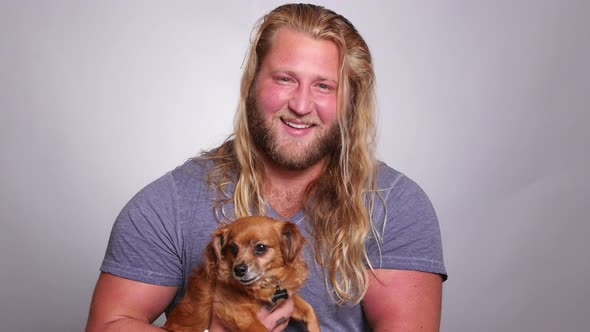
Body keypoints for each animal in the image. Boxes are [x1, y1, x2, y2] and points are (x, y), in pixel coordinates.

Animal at [163, 217, 320, 330]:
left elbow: (309, 309)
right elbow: (261, 329)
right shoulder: (236, 312)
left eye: (260, 248)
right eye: (233, 248)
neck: (263, 284)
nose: (238, 269)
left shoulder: (283, 297)